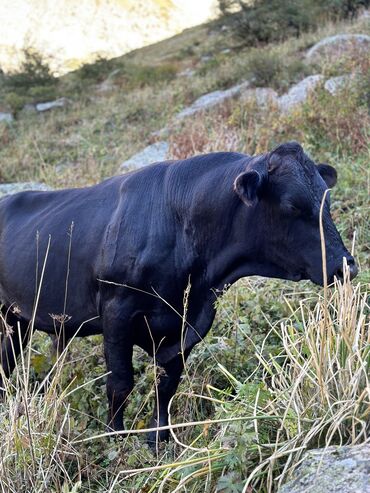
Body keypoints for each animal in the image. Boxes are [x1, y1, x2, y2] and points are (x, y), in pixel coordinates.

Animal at [0, 141, 358, 442]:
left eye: (326, 198)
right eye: (292, 206)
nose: (346, 266)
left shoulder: (190, 320)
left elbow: (167, 384)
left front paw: (159, 440)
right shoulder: (117, 310)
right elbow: (120, 383)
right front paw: (115, 440)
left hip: (17, 319)